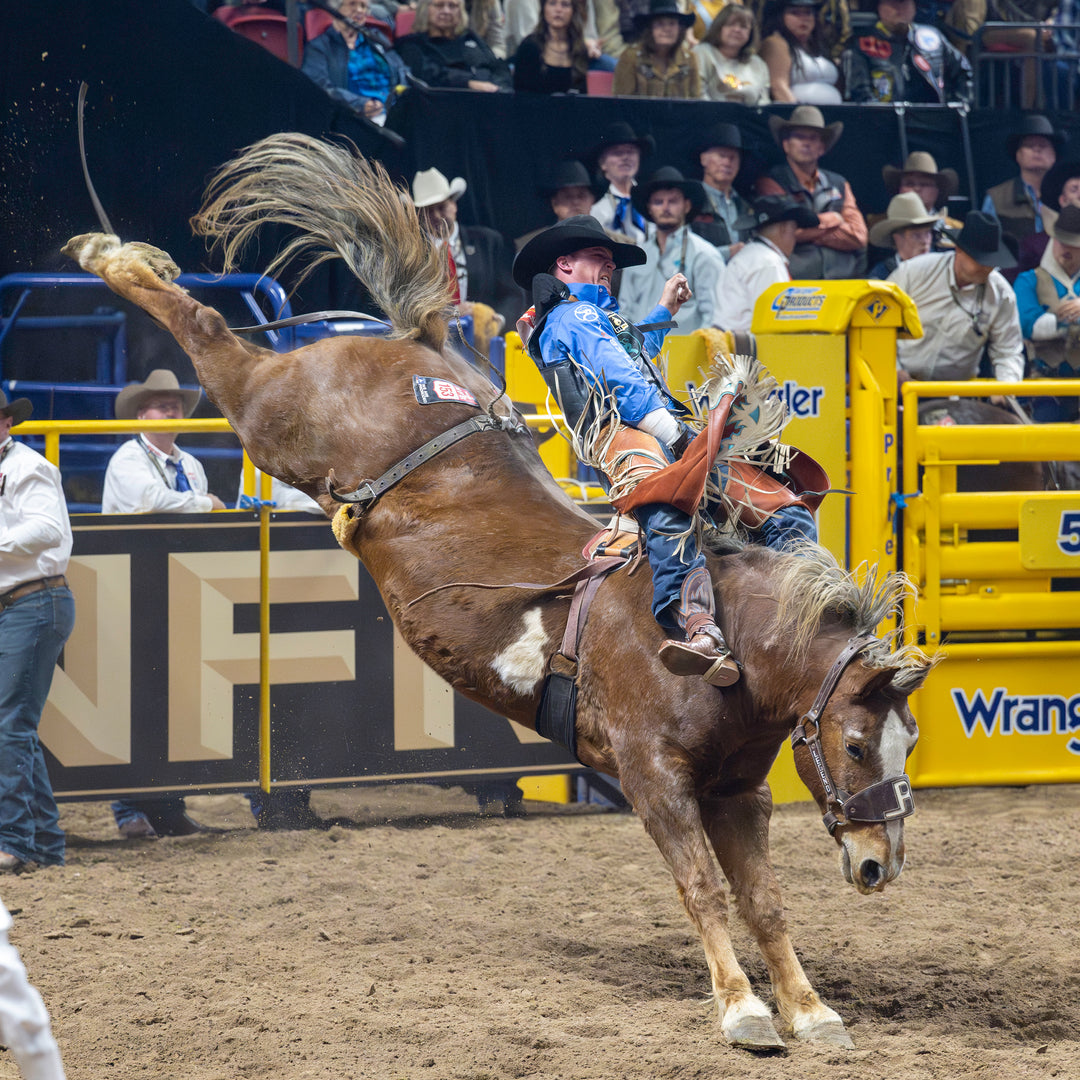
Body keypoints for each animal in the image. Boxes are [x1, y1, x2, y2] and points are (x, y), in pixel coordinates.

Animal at [63, 133, 933, 1053]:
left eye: (908, 743)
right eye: (855, 745)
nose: (879, 865)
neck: (733, 648)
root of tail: (415, 342)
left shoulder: (740, 792)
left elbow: (763, 899)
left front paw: (811, 1009)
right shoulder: (654, 778)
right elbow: (701, 889)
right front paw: (742, 1010)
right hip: (270, 415)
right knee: (207, 332)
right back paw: (109, 255)